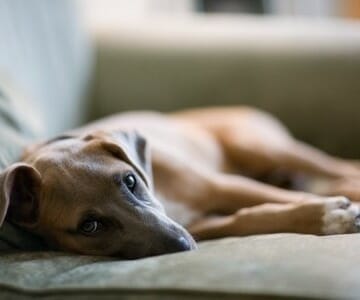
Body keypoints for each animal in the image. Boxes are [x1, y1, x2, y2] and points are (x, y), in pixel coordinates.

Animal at [0, 106, 360, 258]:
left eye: (130, 180)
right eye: (90, 226)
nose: (184, 246)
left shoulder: (221, 186)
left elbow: (277, 199)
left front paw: (334, 214)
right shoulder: (203, 223)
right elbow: (251, 217)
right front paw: (327, 214)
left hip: (259, 145)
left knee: (339, 168)